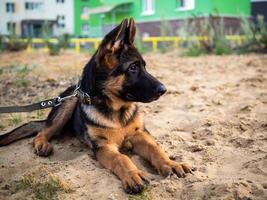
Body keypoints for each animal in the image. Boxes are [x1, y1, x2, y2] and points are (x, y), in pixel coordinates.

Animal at [0, 18, 193, 194]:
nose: (163, 89)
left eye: (144, 66)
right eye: (133, 68)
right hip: (68, 103)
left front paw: (171, 163)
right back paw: (42, 144)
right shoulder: (103, 146)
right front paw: (133, 174)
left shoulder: (140, 134)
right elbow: (121, 158)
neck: (117, 111)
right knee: (42, 131)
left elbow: (156, 149)